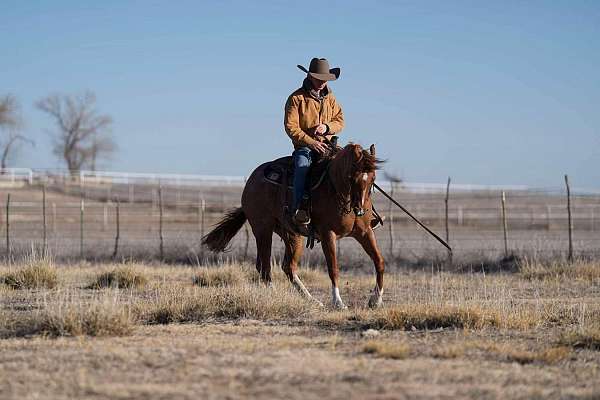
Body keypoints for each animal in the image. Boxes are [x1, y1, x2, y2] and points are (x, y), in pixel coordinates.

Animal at [203, 144, 384, 310]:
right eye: (352, 176)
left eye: (373, 178)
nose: (360, 210)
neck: (335, 189)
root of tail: (252, 180)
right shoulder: (328, 234)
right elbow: (333, 268)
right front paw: (338, 302)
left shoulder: (364, 232)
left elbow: (379, 261)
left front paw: (376, 300)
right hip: (263, 230)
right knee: (265, 266)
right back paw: (274, 295)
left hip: (292, 235)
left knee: (288, 267)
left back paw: (312, 300)